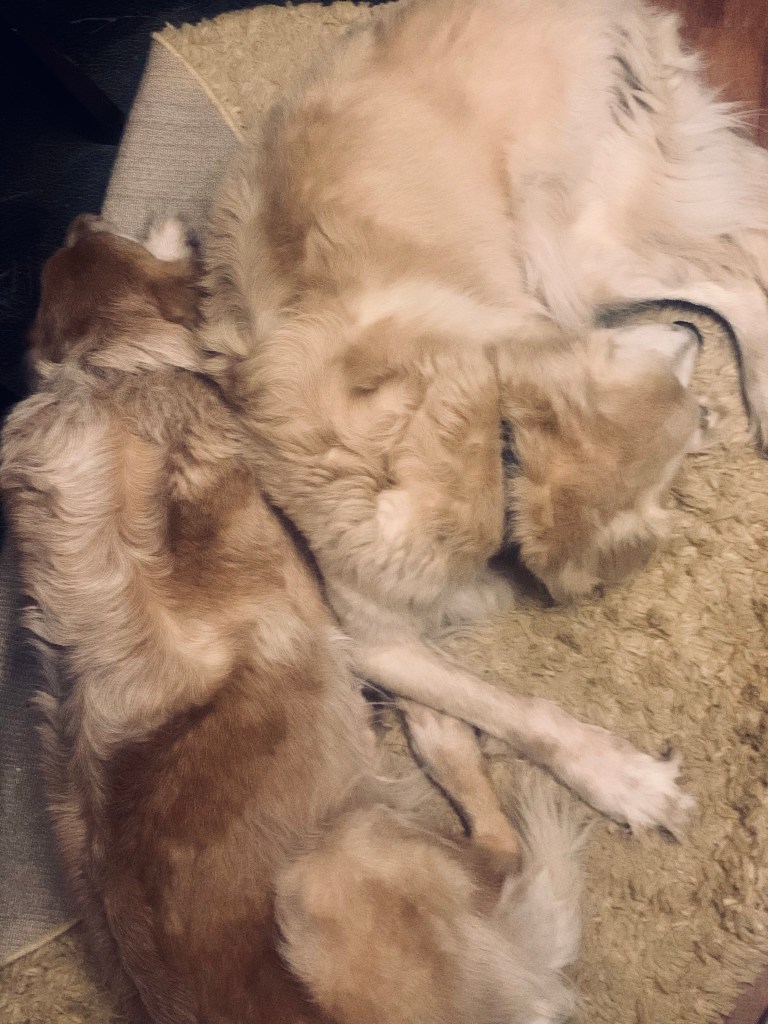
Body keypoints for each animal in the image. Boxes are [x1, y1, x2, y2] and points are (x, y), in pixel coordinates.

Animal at [0, 214, 590, 1024]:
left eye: (73, 250)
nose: (80, 218)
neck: (109, 375)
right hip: (337, 863)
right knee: (499, 853)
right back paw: (439, 738)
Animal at [198, 0, 760, 831]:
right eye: (613, 356)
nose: (686, 342)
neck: (490, 457)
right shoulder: (370, 636)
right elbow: (510, 711)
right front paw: (619, 776)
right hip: (580, 253)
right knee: (729, 267)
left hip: (569, 244)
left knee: (735, 266)